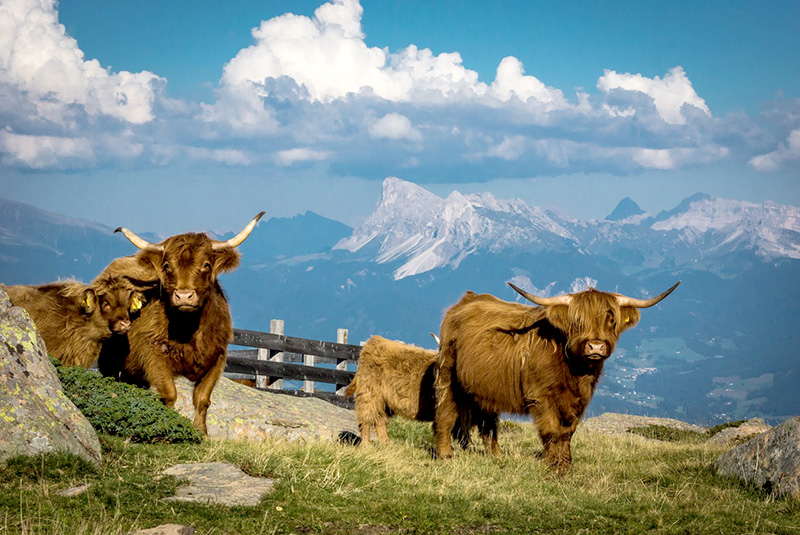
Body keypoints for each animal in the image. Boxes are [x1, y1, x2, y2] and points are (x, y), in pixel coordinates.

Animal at [100, 212, 264, 435]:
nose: (184, 295)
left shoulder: (217, 357)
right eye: (167, 266)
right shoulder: (152, 351)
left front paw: (201, 432)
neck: (189, 329)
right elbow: (169, 394)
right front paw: (167, 426)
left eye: (206, 265)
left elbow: (203, 398)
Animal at [345, 335, 473, 448]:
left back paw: (386, 444)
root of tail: (372, 341)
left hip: (383, 401)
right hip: (369, 392)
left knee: (381, 420)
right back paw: (366, 445)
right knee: (366, 418)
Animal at [433, 281, 680, 472]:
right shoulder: (541, 397)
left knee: (488, 423)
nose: (596, 346)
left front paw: (566, 464)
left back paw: (496, 455)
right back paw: (445, 455)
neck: (576, 373)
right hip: (447, 372)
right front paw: (553, 466)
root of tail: (467, 300)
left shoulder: (579, 401)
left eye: (611, 320)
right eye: (577, 321)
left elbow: (567, 433)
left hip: (486, 387)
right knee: (446, 412)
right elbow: (552, 431)